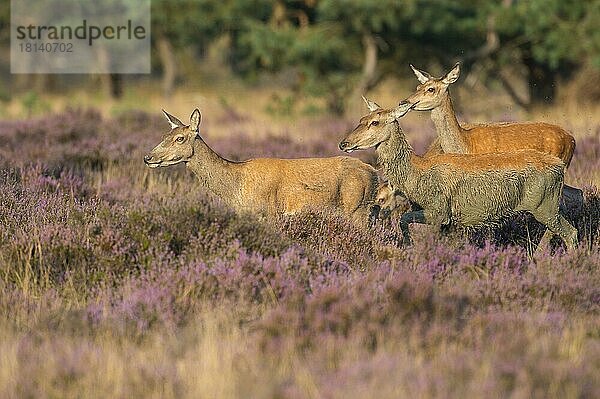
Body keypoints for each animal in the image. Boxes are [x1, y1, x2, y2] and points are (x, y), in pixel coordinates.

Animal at [144, 109, 380, 222]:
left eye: (180, 138)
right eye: (165, 135)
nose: (148, 157)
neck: (236, 188)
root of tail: (374, 173)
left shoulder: (269, 212)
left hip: (357, 207)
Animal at [338, 99, 576, 252]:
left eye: (375, 122)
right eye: (362, 118)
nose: (344, 143)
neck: (416, 176)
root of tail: (559, 167)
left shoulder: (439, 210)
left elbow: (404, 221)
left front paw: (411, 249)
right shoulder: (447, 221)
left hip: (544, 205)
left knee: (569, 232)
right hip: (549, 205)